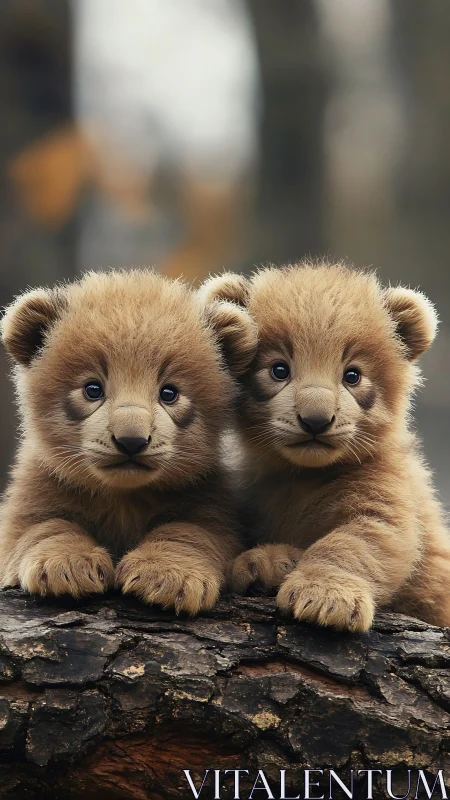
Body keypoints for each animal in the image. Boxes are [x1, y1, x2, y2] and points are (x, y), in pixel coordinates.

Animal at [0, 269, 256, 613]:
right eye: (92, 389)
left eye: (169, 392)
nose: (131, 440)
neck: (122, 496)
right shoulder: (40, 485)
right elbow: (38, 526)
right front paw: (65, 565)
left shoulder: (206, 494)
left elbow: (196, 530)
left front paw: (167, 575)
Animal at [200, 262, 450, 631]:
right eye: (279, 369)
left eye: (352, 375)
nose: (316, 419)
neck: (301, 476)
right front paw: (264, 563)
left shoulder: (385, 487)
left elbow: (360, 541)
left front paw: (327, 596)